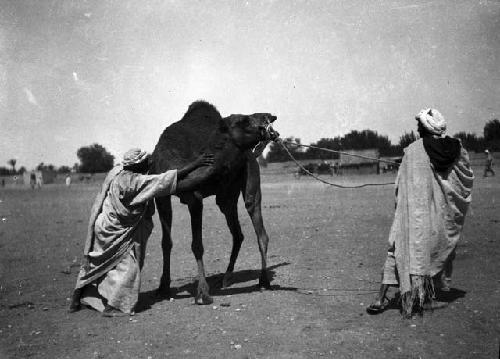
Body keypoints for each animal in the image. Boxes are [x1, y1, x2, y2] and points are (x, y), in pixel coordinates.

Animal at [150, 101, 280, 306]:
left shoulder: (194, 198)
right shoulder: (161, 195)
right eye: (243, 121)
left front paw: (202, 293)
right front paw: (163, 288)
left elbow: (197, 245)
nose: (270, 117)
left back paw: (263, 281)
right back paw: (227, 278)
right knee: (237, 232)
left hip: (250, 176)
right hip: (226, 196)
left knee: (259, 227)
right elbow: (166, 242)